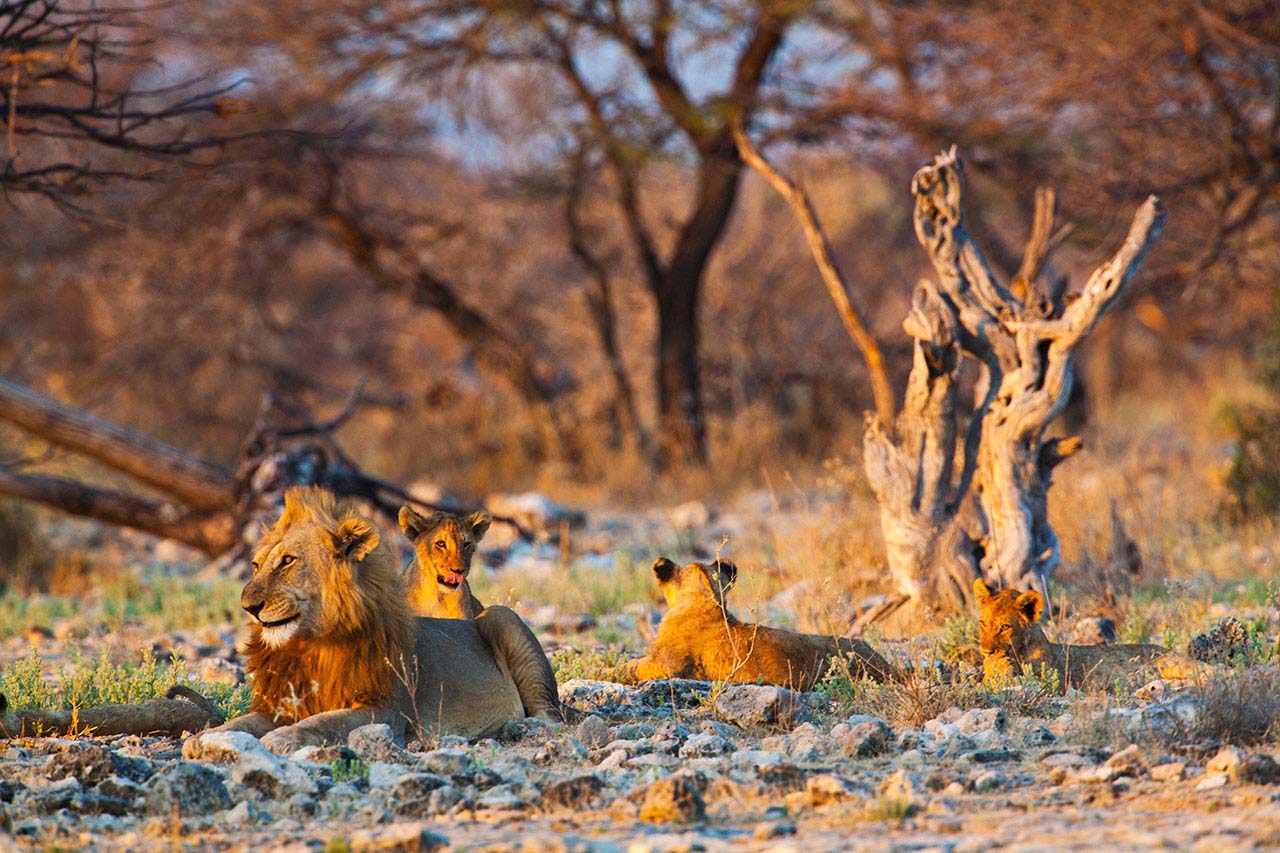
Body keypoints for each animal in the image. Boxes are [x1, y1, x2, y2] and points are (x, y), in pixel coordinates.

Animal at [186, 484, 560, 753]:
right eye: (255, 565)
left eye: (288, 561)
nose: (248, 605)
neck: (310, 644)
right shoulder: (281, 705)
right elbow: (243, 723)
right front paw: (205, 738)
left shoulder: (386, 710)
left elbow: (325, 722)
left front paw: (282, 738)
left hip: (501, 616)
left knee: (552, 716)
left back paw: (523, 727)